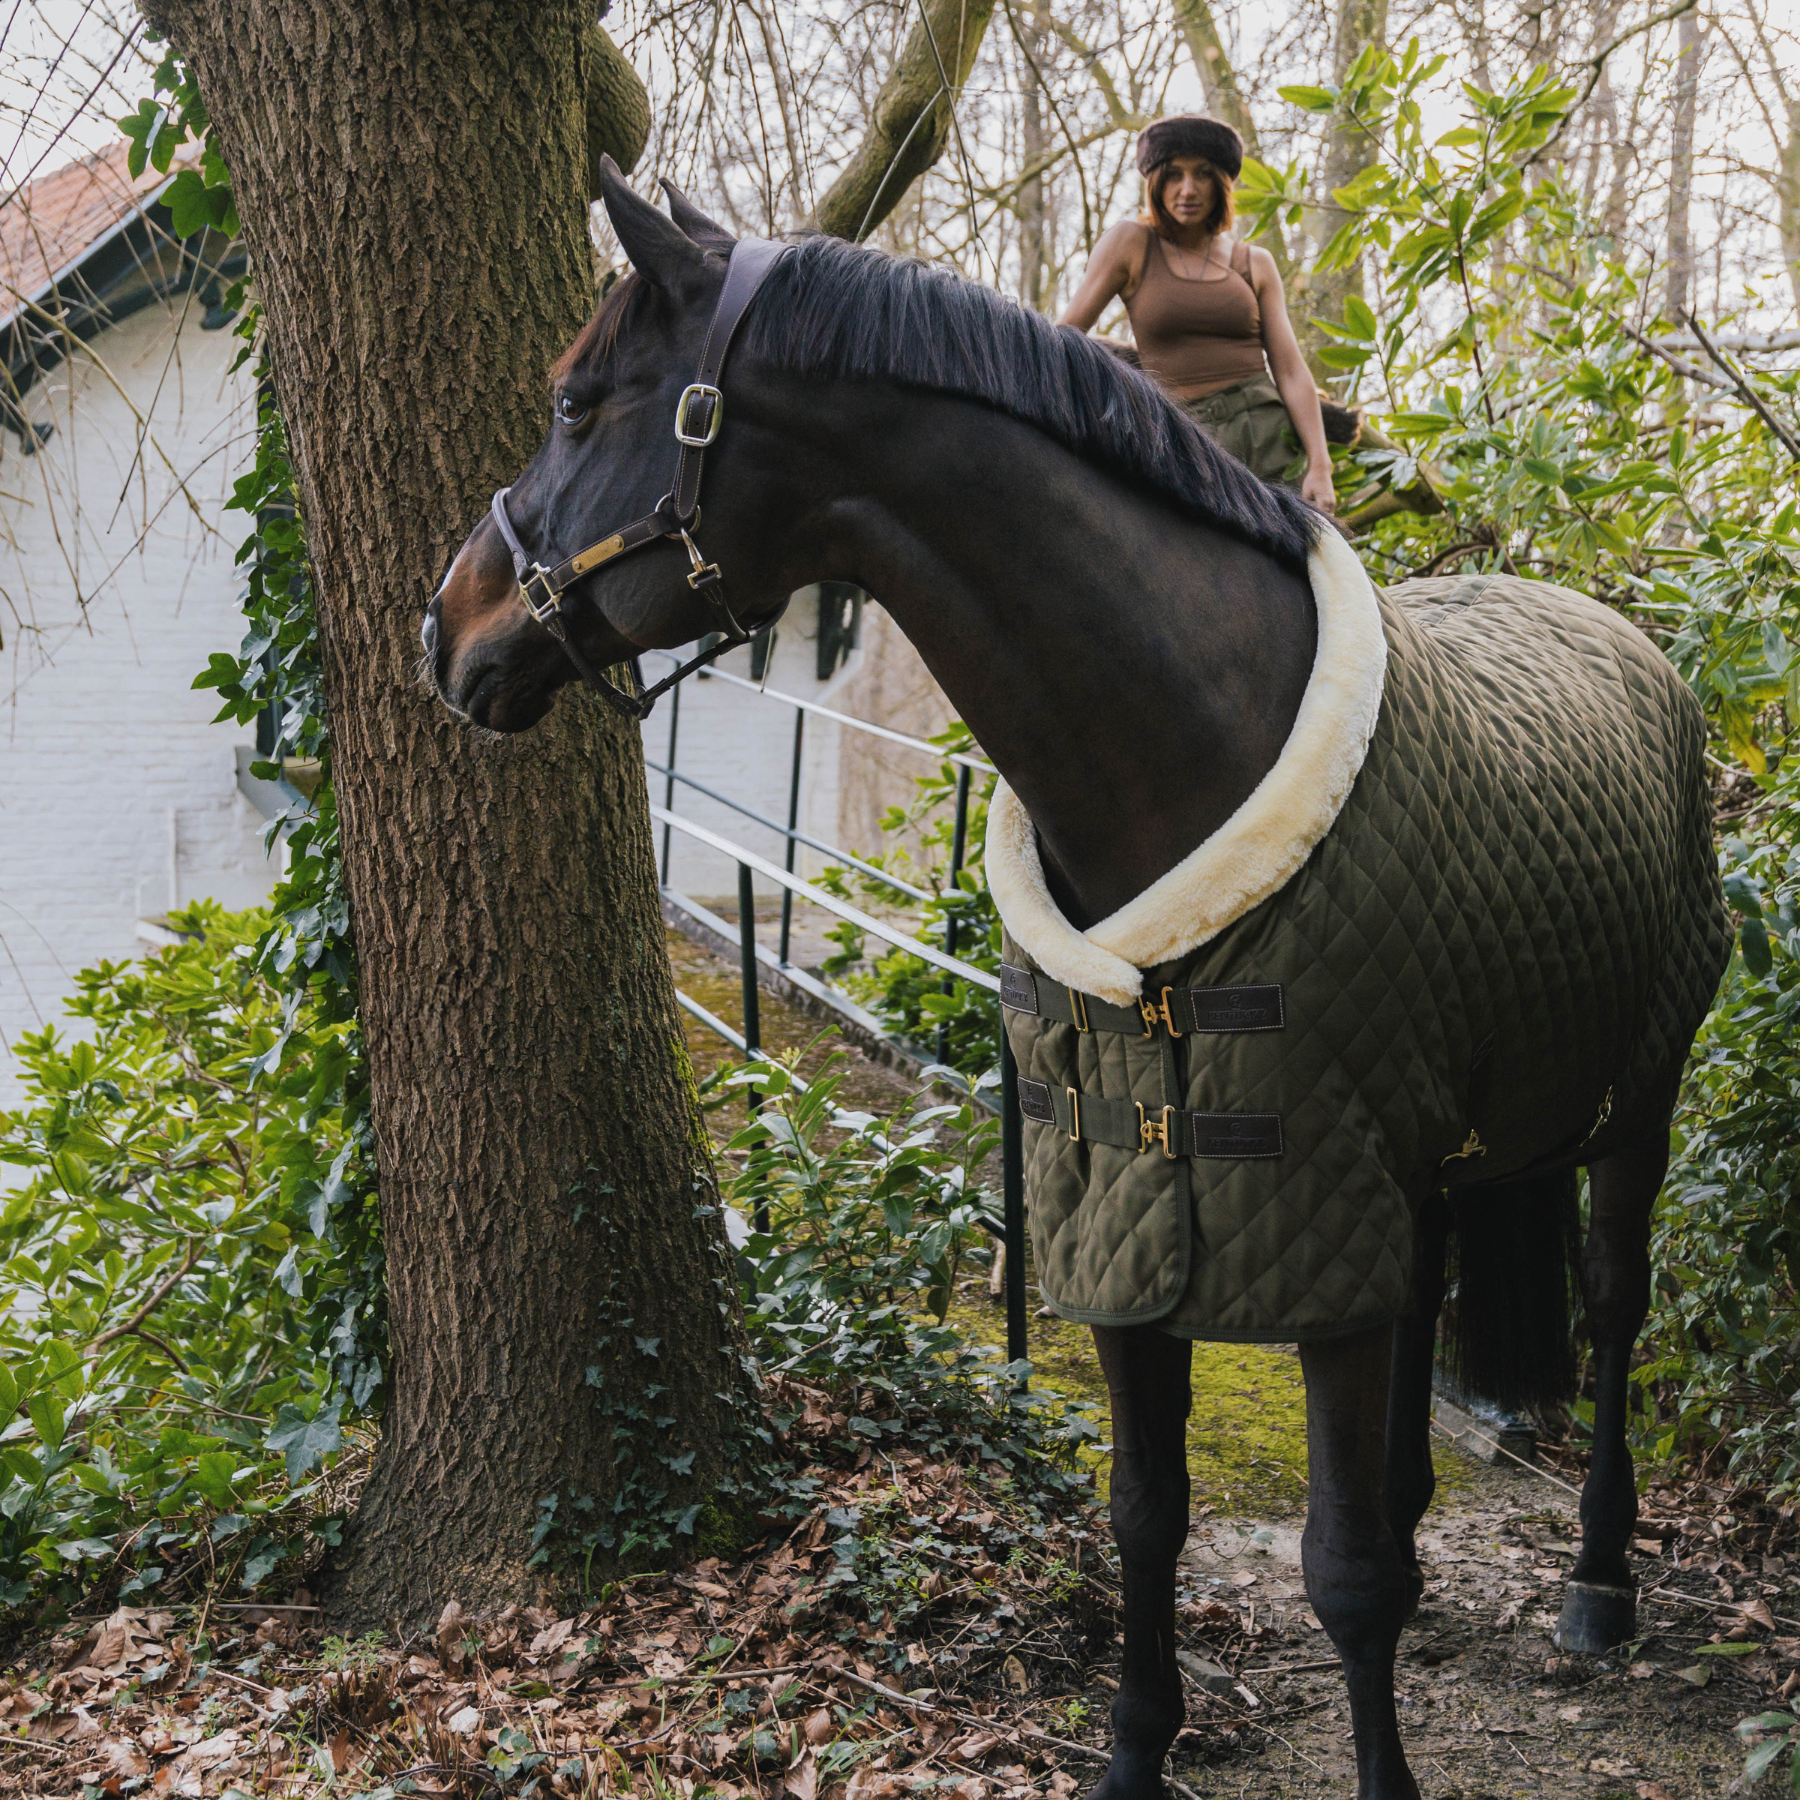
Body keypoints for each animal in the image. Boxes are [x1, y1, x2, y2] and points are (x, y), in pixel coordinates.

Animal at [421, 162, 1728, 1792]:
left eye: (578, 403)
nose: (448, 625)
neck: (1188, 750)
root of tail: (1628, 638)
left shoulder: (1318, 1228)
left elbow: (1343, 1568)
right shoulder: (1124, 1224)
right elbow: (1143, 1515)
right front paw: (1131, 1749)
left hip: (1640, 1093)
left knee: (1613, 1307)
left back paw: (1601, 1582)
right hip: (1426, 1165)